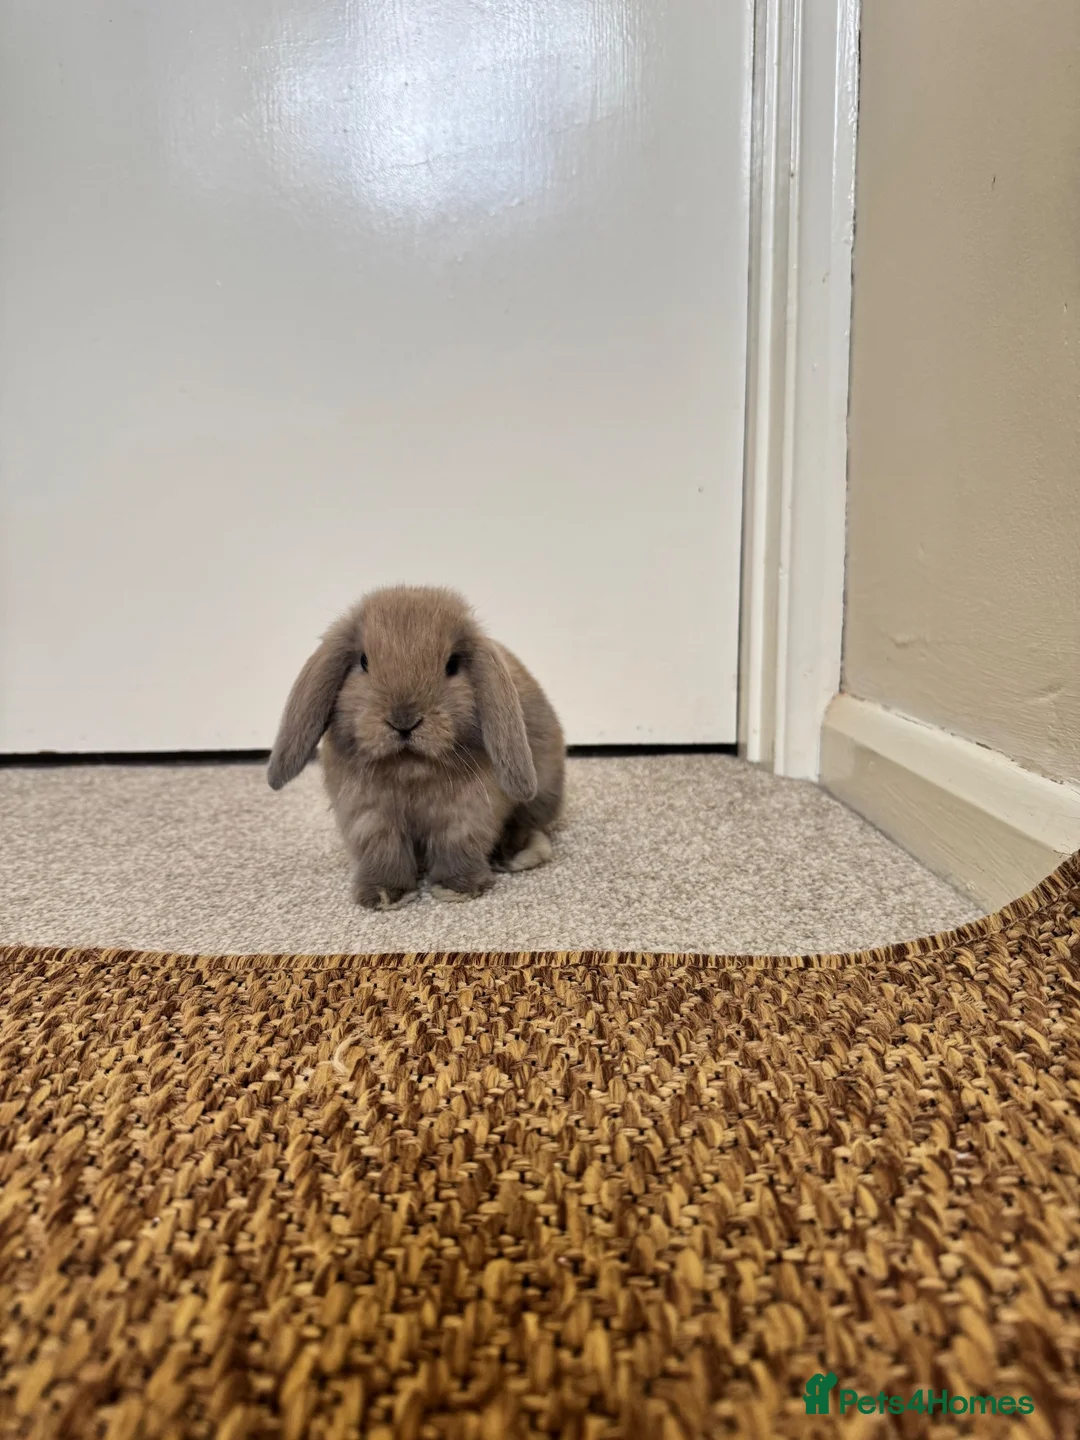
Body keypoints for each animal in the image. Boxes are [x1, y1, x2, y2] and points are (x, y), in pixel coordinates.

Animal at [267, 586, 565, 909]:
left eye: (452, 665)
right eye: (363, 662)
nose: (404, 721)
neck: (409, 765)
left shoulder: (467, 814)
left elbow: (458, 845)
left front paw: (458, 888)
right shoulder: (370, 816)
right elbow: (383, 851)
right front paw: (383, 894)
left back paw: (516, 853)